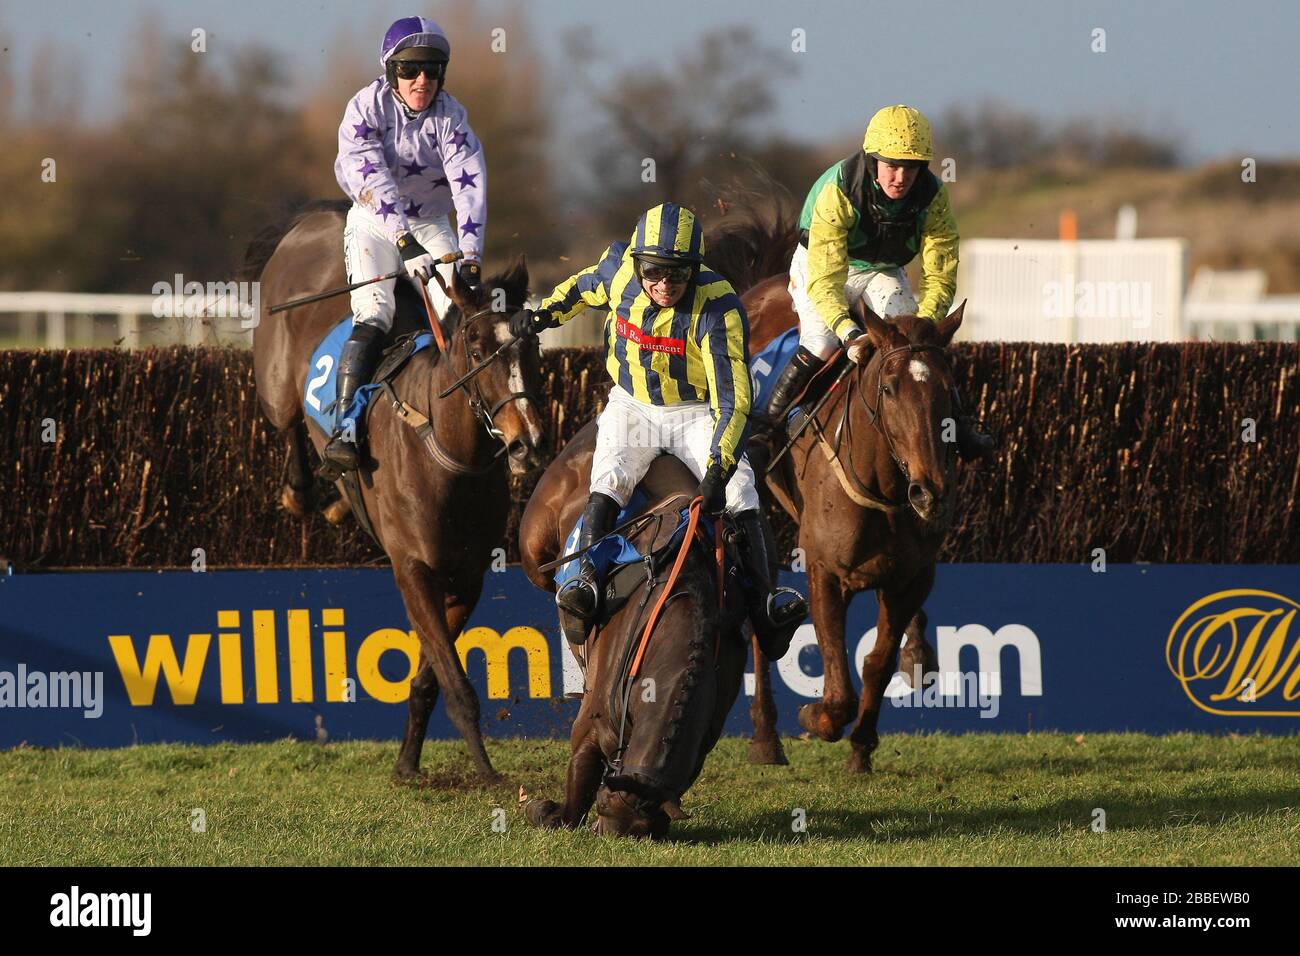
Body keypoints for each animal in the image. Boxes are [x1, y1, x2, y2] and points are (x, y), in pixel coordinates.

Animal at [248, 197, 548, 780]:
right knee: (292, 418)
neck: (449, 458)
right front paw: (486, 773)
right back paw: (307, 483)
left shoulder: (467, 577)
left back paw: (339, 505)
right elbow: (456, 683)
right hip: (276, 380)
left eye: (533, 344)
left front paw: (408, 761)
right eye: (475, 343)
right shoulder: (413, 570)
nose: (527, 443)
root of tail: (317, 219)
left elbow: (430, 676)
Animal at [512, 426, 748, 837]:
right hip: (535, 542)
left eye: (647, 828)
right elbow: (575, 793)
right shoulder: (589, 725)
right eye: (606, 805)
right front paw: (545, 810)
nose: (604, 832)